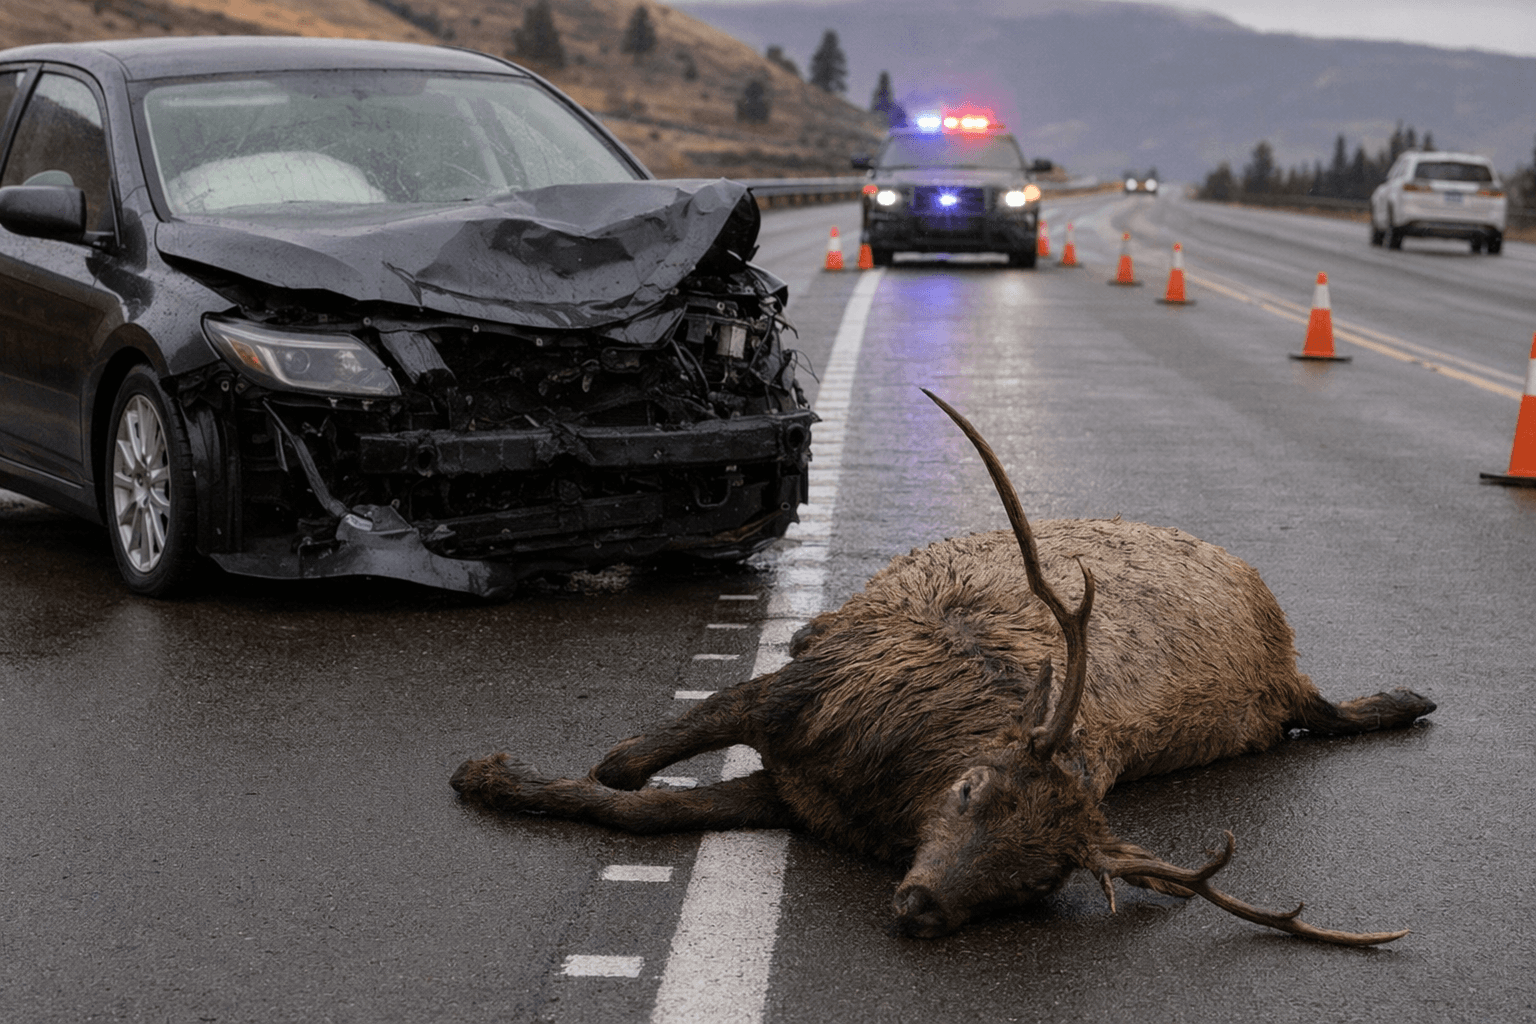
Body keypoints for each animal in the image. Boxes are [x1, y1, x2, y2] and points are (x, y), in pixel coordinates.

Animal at [451, 390, 1435, 944]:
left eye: (1039, 882)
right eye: (970, 792)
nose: (923, 907)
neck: (877, 785)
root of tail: (1288, 662)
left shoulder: (791, 792)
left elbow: (636, 807)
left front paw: (499, 776)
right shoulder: (790, 698)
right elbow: (624, 769)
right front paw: (485, 772)